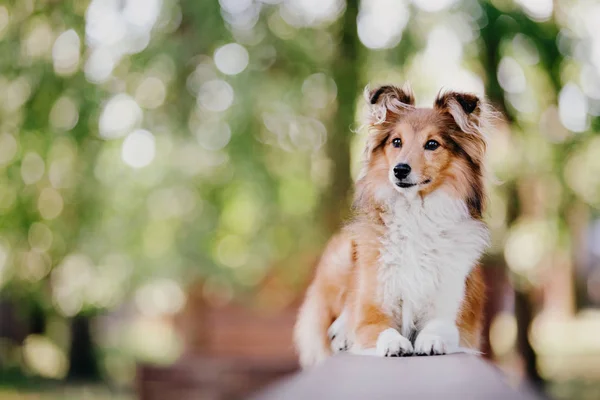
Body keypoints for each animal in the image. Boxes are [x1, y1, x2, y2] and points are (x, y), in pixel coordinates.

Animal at [292, 84, 494, 368]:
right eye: (396, 141)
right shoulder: (372, 311)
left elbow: (440, 327)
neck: (416, 215)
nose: (400, 170)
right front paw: (394, 343)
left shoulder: (455, 314)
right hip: (341, 255)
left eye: (432, 144)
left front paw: (430, 340)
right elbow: (378, 327)